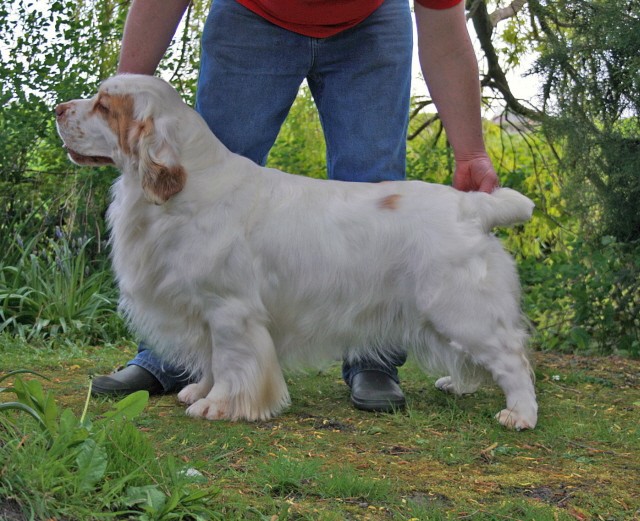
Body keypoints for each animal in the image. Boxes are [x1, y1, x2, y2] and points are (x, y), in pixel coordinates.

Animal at [55, 75, 536, 428]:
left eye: (104, 106)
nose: (57, 109)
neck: (189, 188)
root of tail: (472, 206)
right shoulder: (201, 308)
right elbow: (210, 359)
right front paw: (199, 390)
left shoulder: (230, 310)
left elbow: (231, 361)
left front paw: (218, 405)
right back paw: (458, 385)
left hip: (461, 308)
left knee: (512, 357)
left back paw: (520, 414)